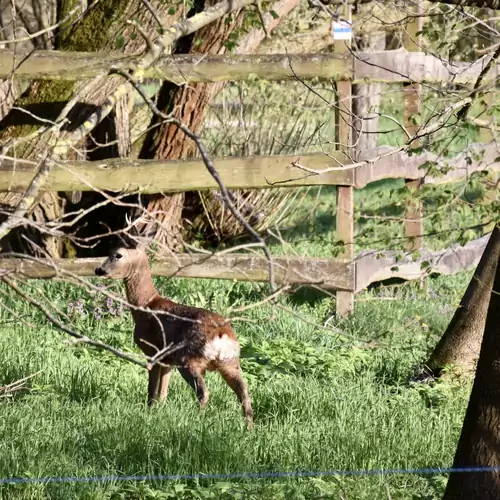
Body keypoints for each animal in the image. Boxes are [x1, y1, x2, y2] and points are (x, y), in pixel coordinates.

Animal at [94, 236, 254, 428]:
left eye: (117, 255)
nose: (98, 269)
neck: (145, 305)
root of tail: (222, 334)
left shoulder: (153, 350)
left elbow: (152, 390)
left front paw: (149, 411)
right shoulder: (167, 360)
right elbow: (163, 392)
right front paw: (158, 412)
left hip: (188, 358)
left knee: (203, 392)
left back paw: (197, 421)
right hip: (230, 363)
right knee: (244, 391)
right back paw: (249, 428)